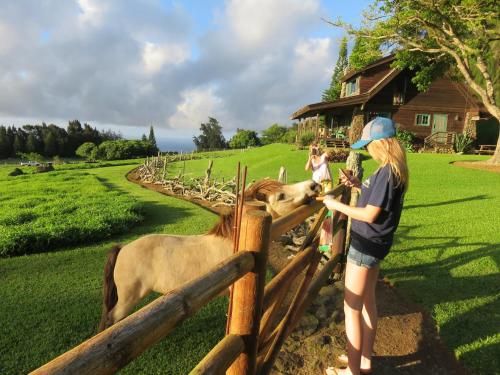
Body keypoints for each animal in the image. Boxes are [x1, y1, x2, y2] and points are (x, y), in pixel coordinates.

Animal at [98, 178, 322, 330]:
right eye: (281, 196)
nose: (313, 185)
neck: (234, 243)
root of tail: (123, 248)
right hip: (127, 299)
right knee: (111, 320)